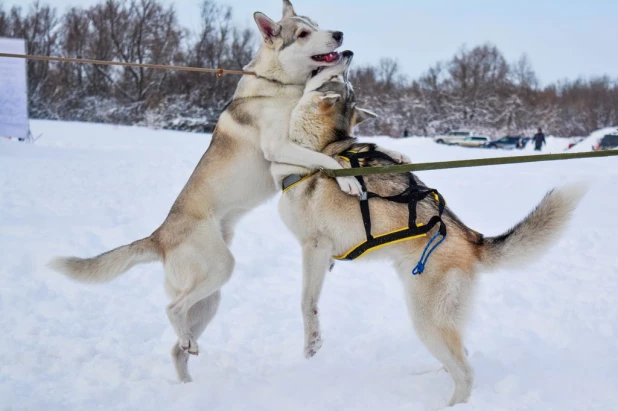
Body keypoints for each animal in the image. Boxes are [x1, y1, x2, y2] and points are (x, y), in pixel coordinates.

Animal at [49, 0, 360, 386]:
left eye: (315, 24)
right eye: (302, 33)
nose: (340, 36)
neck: (280, 86)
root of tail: (159, 236)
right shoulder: (278, 148)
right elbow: (325, 158)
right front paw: (349, 179)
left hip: (209, 299)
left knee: (177, 346)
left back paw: (186, 373)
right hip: (219, 269)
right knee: (172, 309)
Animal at [270, 50, 588, 406]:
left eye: (341, 78)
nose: (348, 54)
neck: (315, 151)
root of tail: (471, 238)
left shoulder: (313, 246)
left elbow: (306, 302)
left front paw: (312, 342)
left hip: (426, 318)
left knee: (465, 373)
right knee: (459, 357)